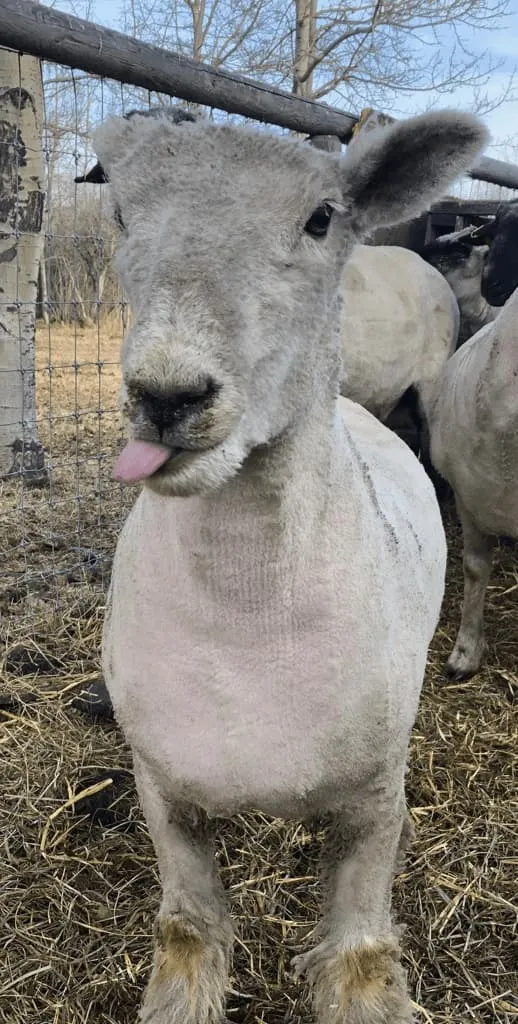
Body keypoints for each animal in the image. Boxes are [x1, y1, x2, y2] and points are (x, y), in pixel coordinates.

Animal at [96, 107, 486, 1024]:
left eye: (321, 219)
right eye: (121, 214)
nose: (167, 396)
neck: (245, 624)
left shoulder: (377, 799)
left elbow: (361, 961)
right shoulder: (161, 788)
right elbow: (188, 938)